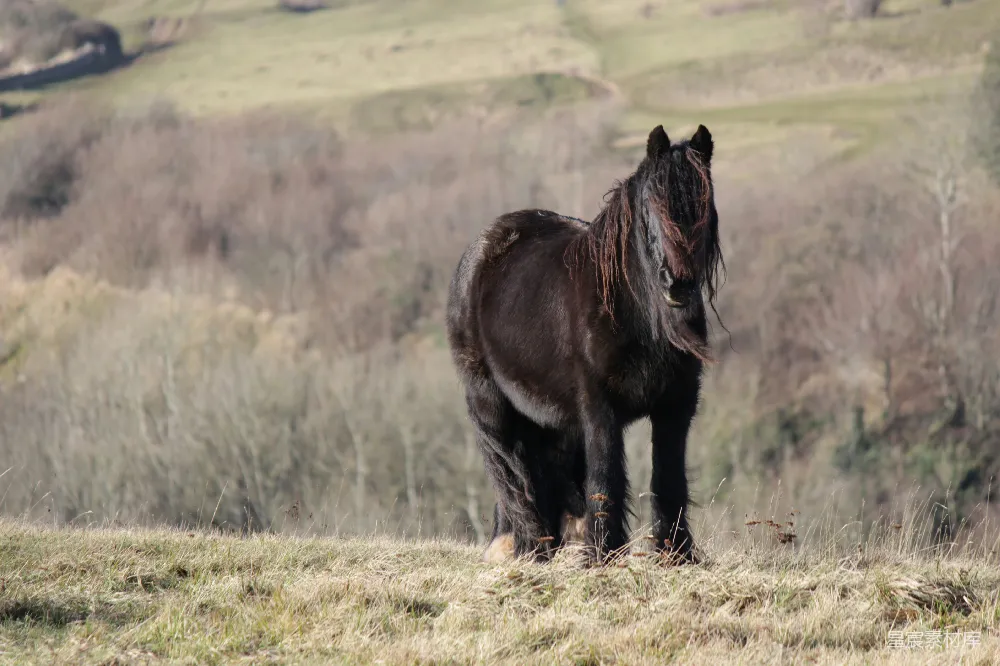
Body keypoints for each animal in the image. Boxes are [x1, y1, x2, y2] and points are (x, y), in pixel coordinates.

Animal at [446, 124, 724, 565]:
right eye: (651, 207)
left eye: (704, 205)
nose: (677, 286)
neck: (634, 311)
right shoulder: (599, 408)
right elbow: (606, 475)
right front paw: (603, 553)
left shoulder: (676, 405)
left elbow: (669, 478)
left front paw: (675, 554)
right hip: (490, 399)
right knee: (511, 469)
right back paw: (527, 546)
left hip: (550, 415)